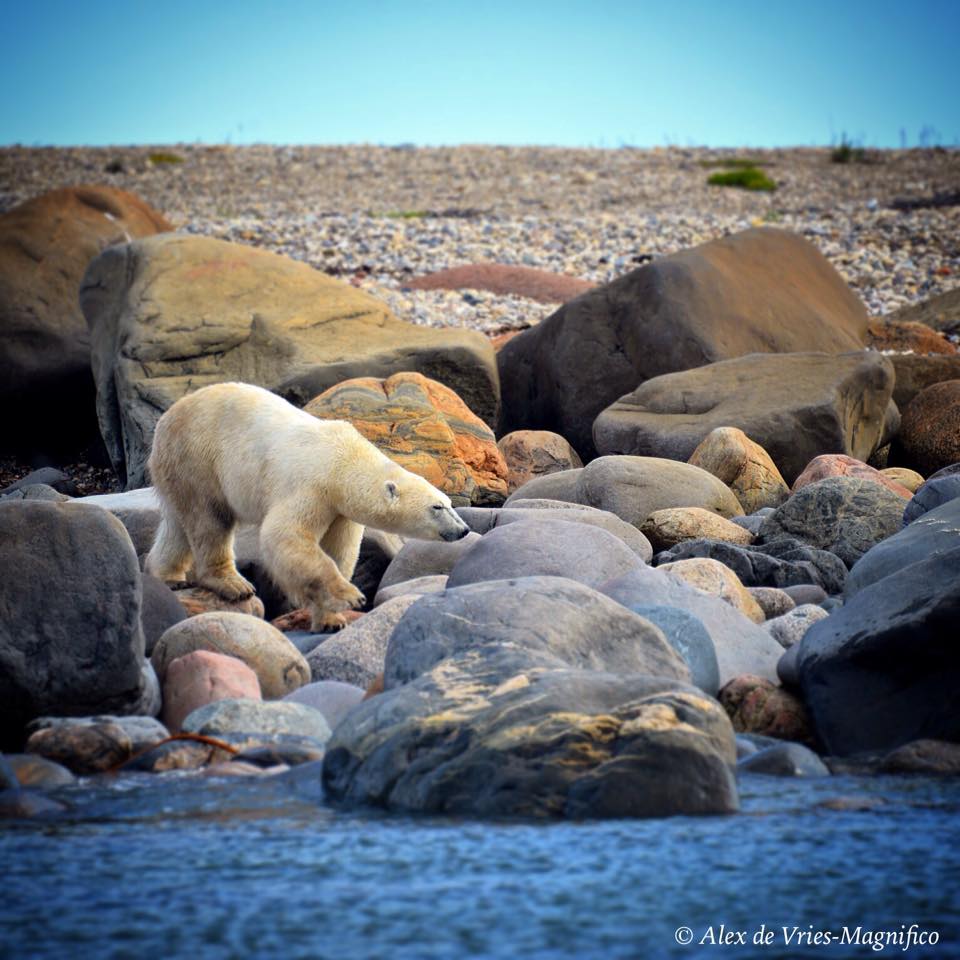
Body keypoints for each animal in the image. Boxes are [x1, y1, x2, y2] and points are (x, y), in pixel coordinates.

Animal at [145, 381, 470, 630]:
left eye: (449, 503)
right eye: (437, 507)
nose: (464, 530)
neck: (343, 461)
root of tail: (165, 420)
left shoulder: (340, 510)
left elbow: (339, 550)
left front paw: (330, 619)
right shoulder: (309, 485)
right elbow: (286, 535)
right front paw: (350, 596)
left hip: (178, 469)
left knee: (179, 523)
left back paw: (168, 576)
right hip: (198, 456)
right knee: (211, 520)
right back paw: (233, 584)